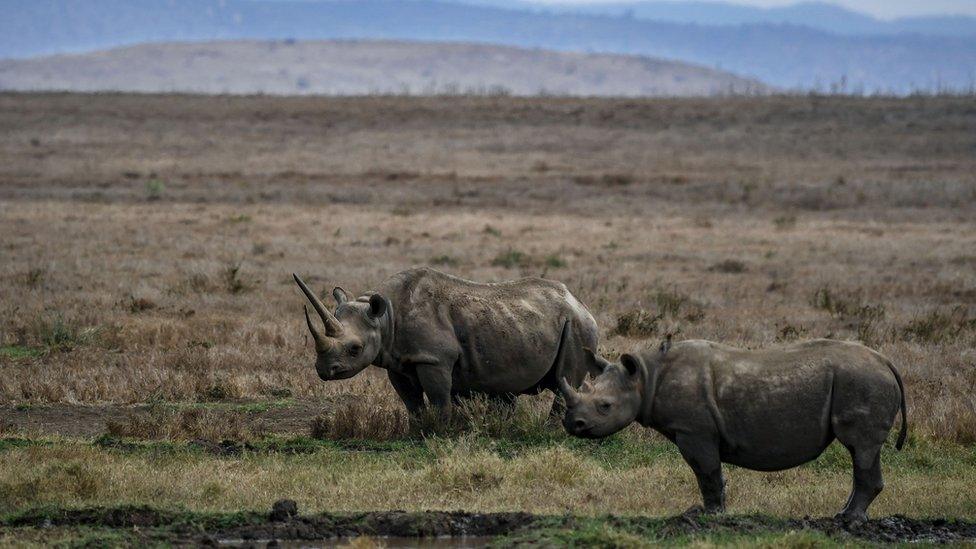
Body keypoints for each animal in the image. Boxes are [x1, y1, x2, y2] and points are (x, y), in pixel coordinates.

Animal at [294, 266, 604, 416]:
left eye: (355, 349)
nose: (324, 371)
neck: (385, 317)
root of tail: (580, 303)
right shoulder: (398, 360)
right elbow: (411, 403)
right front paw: (416, 434)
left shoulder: (434, 358)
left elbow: (439, 398)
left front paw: (441, 433)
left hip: (577, 327)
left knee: (565, 381)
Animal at [560, 336, 912, 520]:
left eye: (605, 406)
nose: (573, 425)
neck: (646, 377)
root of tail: (886, 362)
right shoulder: (695, 430)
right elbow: (710, 474)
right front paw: (713, 512)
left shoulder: (694, 430)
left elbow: (707, 473)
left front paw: (708, 516)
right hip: (862, 379)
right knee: (861, 451)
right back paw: (843, 515)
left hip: (862, 380)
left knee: (861, 447)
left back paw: (847, 520)